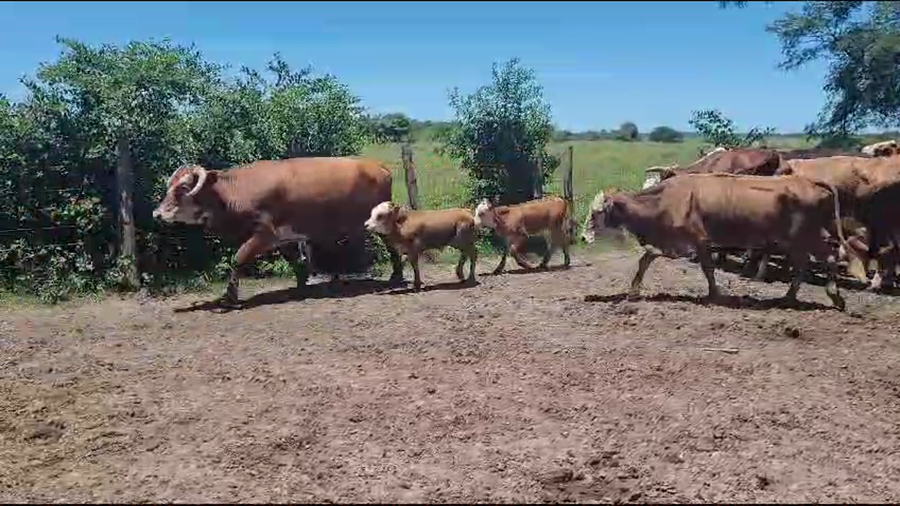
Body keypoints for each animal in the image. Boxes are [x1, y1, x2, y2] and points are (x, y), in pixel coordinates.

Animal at [152, 157, 406, 305]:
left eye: (183, 187)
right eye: (169, 186)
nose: (156, 214)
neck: (231, 193)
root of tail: (379, 167)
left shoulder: (263, 233)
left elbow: (238, 259)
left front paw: (230, 297)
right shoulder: (281, 237)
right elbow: (295, 262)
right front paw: (301, 288)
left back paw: (397, 277)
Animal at [581, 173, 866, 311]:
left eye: (595, 213)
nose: (582, 238)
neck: (667, 199)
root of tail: (808, 180)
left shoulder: (695, 240)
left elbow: (705, 268)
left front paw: (715, 295)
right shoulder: (675, 242)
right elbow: (646, 259)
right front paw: (633, 291)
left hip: (805, 236)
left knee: (829, 256)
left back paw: (833, 295)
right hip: (800, 239)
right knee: (809, 262)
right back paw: (789, 297)